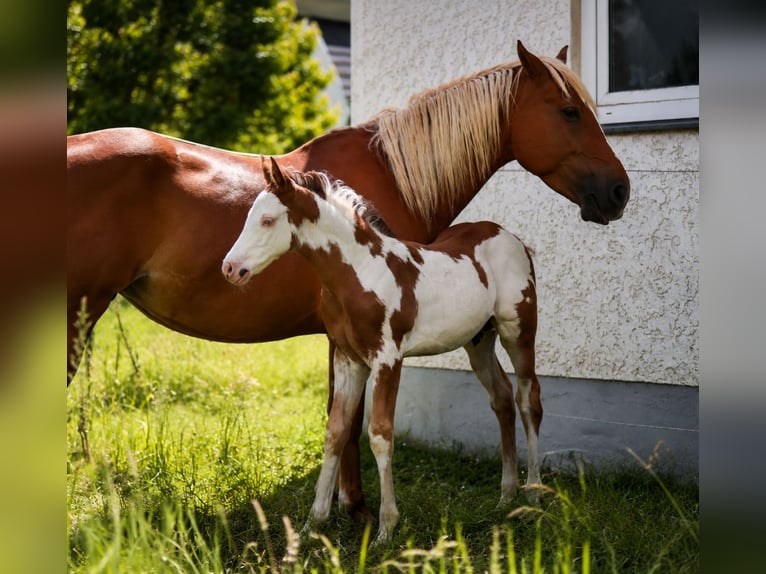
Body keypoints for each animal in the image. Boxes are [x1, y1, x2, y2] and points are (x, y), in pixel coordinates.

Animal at [222, 157, 541, 545]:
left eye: (268, 220)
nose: (230, 268)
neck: (361, 272)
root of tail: (513, 239)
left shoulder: (388, 359)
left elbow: (380, 434)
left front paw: (386, 529)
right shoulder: (348, 359)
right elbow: (335, 431)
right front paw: (314, 524)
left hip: (518, 332)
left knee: (528, 399)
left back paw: (534, 494)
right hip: (479, 340)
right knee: (502, 398)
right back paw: (506, 496)